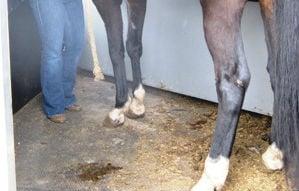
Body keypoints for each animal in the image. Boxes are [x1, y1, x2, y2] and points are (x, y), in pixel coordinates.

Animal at [91, 0, 299, 190]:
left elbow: (115, 49)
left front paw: (119, 107)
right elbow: (133, 45)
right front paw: (137, 102)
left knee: (232, 82)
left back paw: (212, 174)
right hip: (270, 8)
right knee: (278, 72)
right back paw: (275, 151)